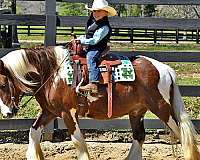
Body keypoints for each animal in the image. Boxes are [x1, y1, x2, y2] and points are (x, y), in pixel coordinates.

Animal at [0, 45, 198, 160]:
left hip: (161, 109)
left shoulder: (68, 113)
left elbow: (78, 142)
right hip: (137, 111)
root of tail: (164, 69)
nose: (7, 113)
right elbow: (33, 132)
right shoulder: (50, 112)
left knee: (182, 134)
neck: (53, 73)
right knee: (139, 136)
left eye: (2, 84)